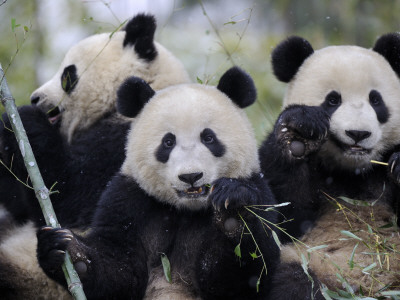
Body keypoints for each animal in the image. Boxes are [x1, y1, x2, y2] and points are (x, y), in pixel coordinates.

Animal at [0, 12, 190, 298]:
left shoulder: (131, 142)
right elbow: (20, 201)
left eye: (68, 74)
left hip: (36, 279)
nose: (35, 98)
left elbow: (69, 196)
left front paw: (23, 119)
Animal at [36, 67, 282, 300]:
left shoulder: (259, 188)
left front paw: (233, 211)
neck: (186, 210)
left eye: (209, 138)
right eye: (168, 142)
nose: (191, 176)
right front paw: (67, 248)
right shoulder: (128, 199)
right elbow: (119, 272)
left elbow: (241, 281)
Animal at [260, 34, 400, 298]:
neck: (352, 172)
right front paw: (299, 132)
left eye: (376, 100)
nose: (358, 133)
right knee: (292, 281)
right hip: (309, 263)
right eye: (333, 100)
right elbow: (282, 218)